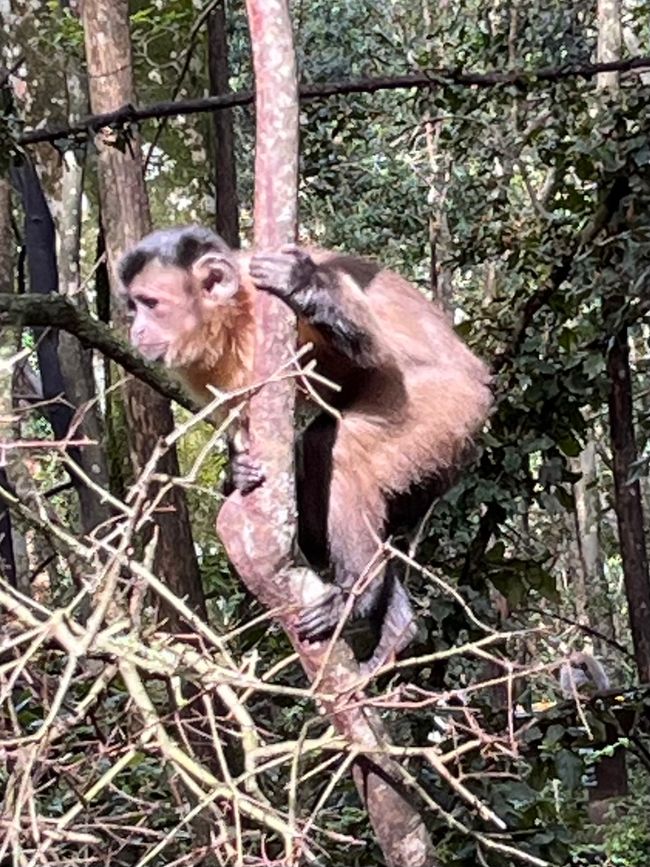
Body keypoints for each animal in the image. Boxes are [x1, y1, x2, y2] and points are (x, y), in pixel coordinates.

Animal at [117, 225, 492, 672]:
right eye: (133, 307)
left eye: (151, 304)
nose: (136, 332)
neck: (234, 317)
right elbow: (239, 425)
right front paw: (237, 471)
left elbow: (368, 350)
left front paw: (303, 284)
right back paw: (397, 623)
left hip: (446, 407)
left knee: (335, 449)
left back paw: (356, 595)